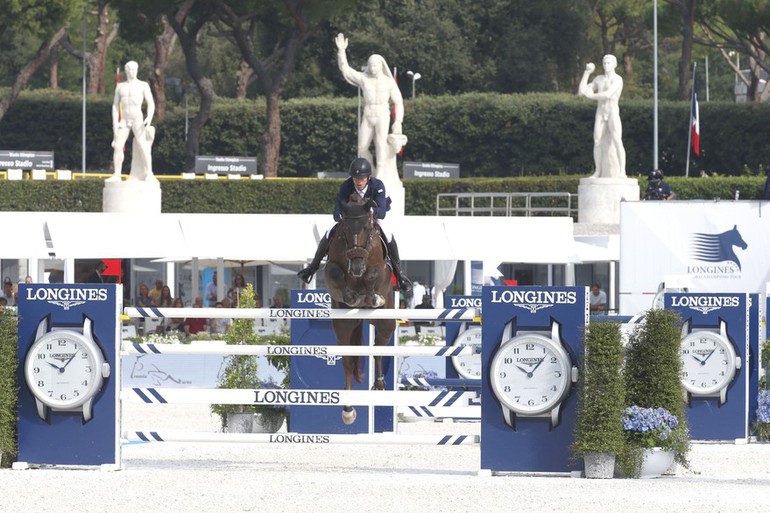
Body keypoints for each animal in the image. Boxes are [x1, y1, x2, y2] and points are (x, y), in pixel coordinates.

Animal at [324, 192, 396, 424]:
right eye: (345, 231)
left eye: (367, 228)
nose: (356, 266)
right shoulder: (331, 267)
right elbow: (336, 274)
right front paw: (351, 296)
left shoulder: (381, 268)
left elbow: (374, 273)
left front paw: (372, 296)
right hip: (343, 329)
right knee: (348, 363)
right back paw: (347, 410)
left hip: (386, 322)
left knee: (379, 349)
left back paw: (380, 384)